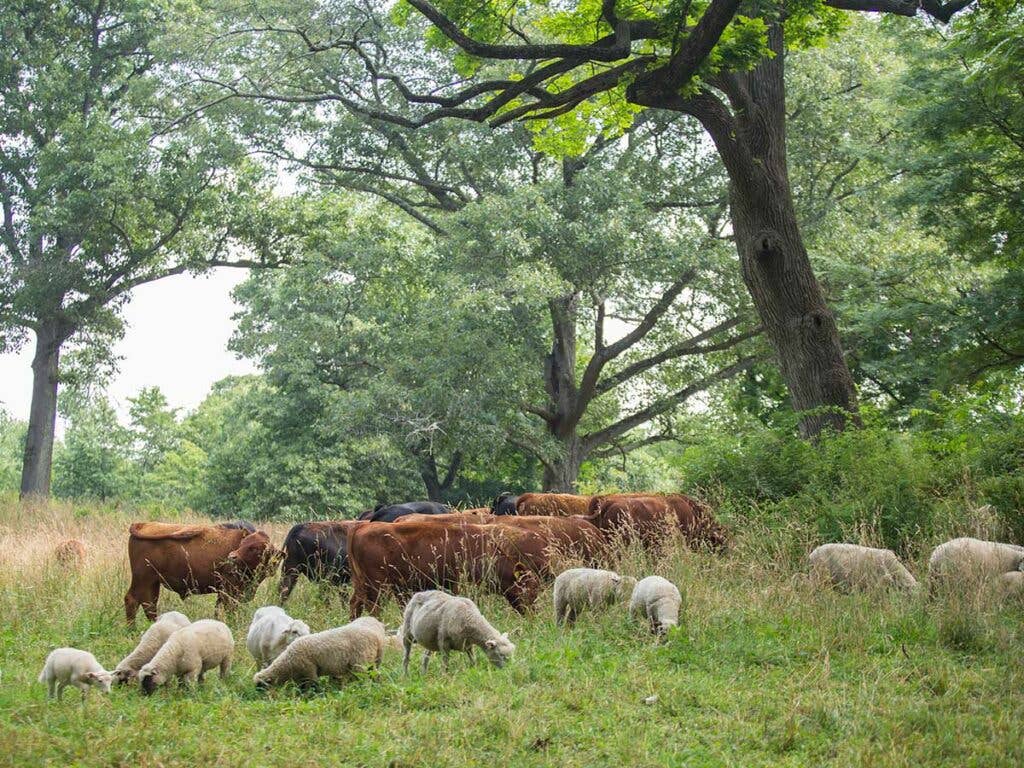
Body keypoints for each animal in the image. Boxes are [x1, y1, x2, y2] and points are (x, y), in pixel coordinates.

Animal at [123, 524, 280, 626]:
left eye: (256, 548)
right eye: (244, 543)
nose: (232, 557)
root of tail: (141, 524)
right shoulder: (229, 590)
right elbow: (230, 609)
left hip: (153, 583)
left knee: (149, 605)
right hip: (142, 580)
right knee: (132, 600)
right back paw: (132, 630)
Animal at [251, 618, 391, 688]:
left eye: (260, 686)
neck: (287, 662)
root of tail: (375, 637)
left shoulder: (309, 670)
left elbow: (312, 687)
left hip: (360, 663)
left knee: (365, 678)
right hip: (372, 661)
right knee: (375, 675)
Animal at [346, 518, 552, 618]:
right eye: (529, 590)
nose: (533, 615)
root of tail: (361, 527)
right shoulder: (460, 583)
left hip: (362, 583)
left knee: (355, 603)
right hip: (378, 585)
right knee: (374, 607)